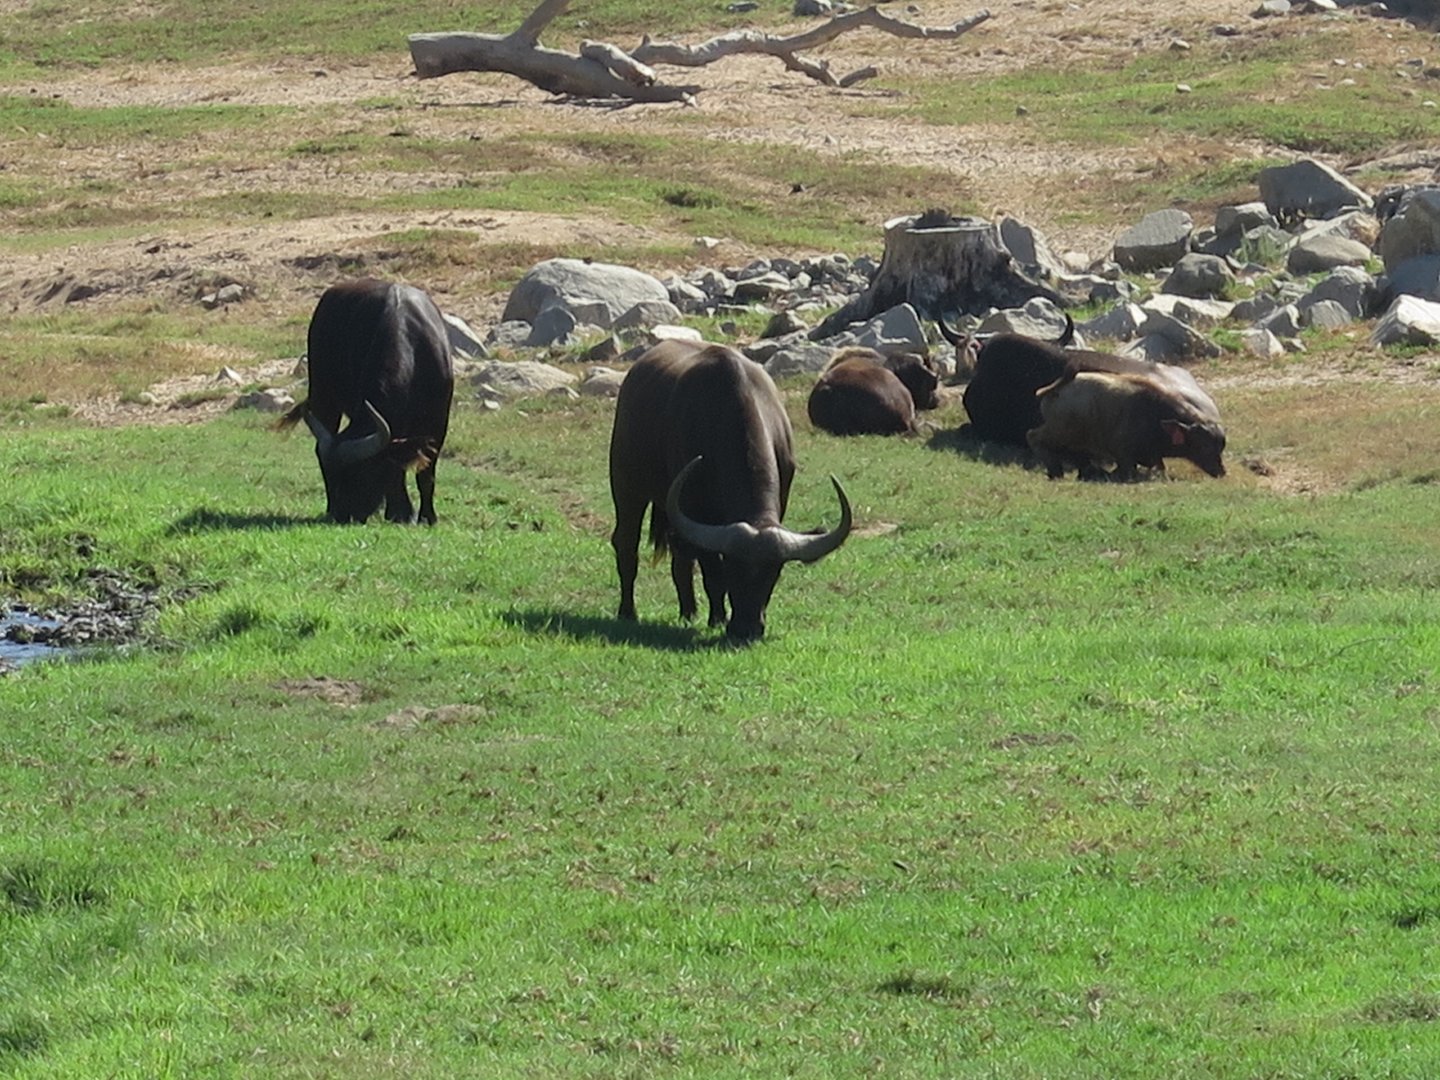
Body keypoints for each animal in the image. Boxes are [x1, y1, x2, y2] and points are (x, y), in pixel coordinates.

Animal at [278, 279, 454, 524]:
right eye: (332, 475)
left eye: (362, 473)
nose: (342, 514)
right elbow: (395, 472)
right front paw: (400, 512)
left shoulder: (438, 422)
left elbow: (425, 474)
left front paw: (427, 517)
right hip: (323, 397)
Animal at [609, 339, 852, 642]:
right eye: (733, 568)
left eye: (773, 574)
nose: (747, 629)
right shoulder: (695, 511)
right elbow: (712, 573)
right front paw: (718, 618)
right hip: (626, 487)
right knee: (627, 545)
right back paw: (628, 611)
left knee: (680, 557)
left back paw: (688, 613)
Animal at [1027, 368, 1227, 480]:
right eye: (1204, 446)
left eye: (1220, 447)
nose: (1221, 471)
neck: (1154, 416)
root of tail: (1054, 389)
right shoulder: (1123, 455)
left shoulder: (1153, 457)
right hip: (1059, 431)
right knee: (1033, 437)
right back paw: (1056, 472)